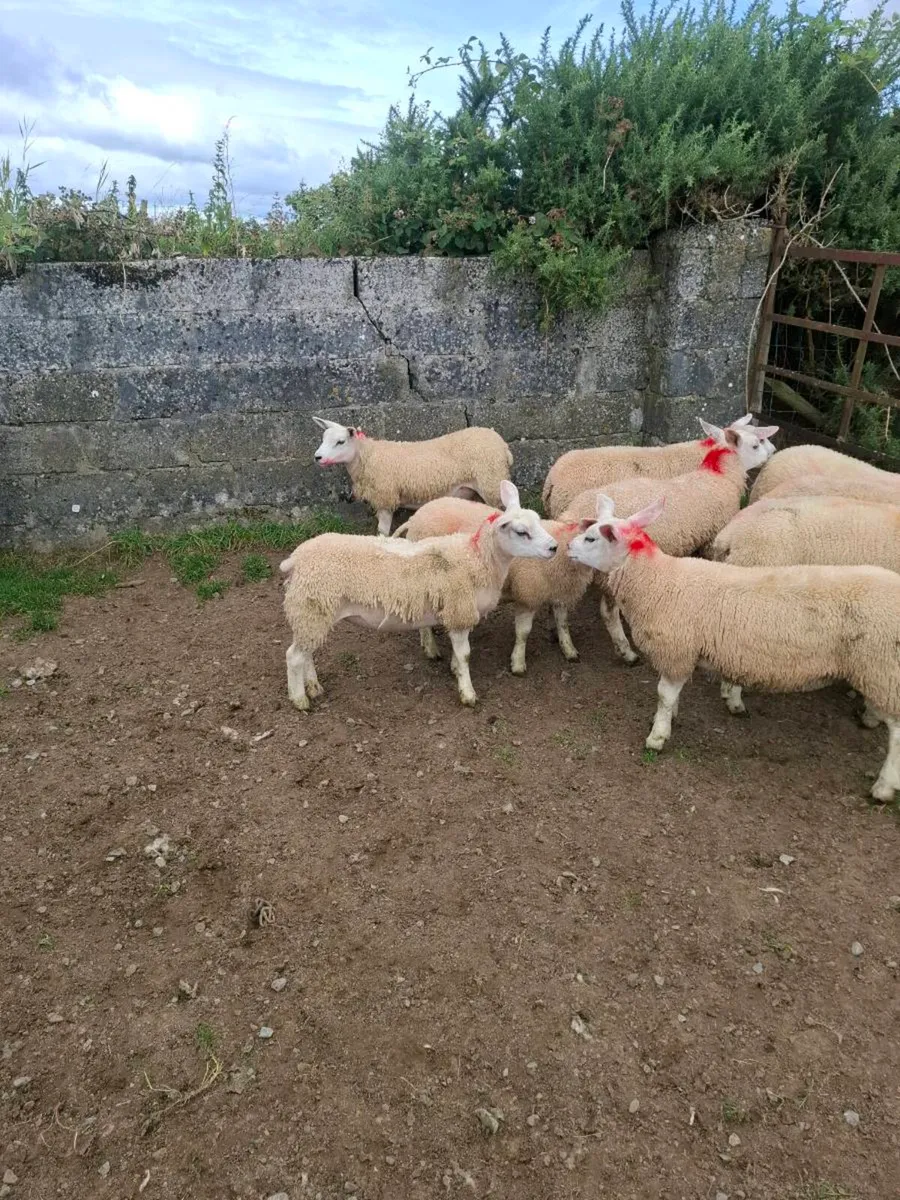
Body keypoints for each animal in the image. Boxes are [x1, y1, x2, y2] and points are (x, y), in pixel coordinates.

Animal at [280, 482, 558, 709]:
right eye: (522, 532)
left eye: (538, 522)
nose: (554, 547)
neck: (476, 558)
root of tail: (296, 558)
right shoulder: (459, 612)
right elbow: (465, 655)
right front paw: (467, 693)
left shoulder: (454, 614)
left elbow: (458, 654)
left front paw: (454, 670)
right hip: (311, 610)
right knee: (293, 657)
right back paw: (300, 699)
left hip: (312, 614)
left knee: (307, 653)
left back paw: (314, 687)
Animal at [311, 417, 513, 535]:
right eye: (323, 438)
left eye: (340, 442)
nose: (317, 457)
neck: (367, 456)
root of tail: (503, 444)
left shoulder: (386, 497)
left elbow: (383, 530)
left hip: (491, 482)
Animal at [393, 497, 593, 675]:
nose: (553, 548)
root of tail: (414, 517)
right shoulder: (527, 595)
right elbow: (523, 632)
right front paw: (518, 663)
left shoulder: (561, 592)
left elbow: (563, 624)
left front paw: (569, 650)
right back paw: (431, 649)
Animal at [561, 419, 779, 665]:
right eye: (756, 444)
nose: (773, 452)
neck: (719, 476)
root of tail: (570, 513)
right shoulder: (711, 536)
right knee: (607, 612)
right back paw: (626, 652)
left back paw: (567, 647)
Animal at [567, 493, 900, 803]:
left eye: (591, 538)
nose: (567, 547)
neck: (657, 581)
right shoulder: (683, 653)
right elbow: (673, 697)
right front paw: (672, 718)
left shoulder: (676, 650)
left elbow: (663, 695)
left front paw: (657, 736)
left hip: (881, 667)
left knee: (897, 730)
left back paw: (883, 787)